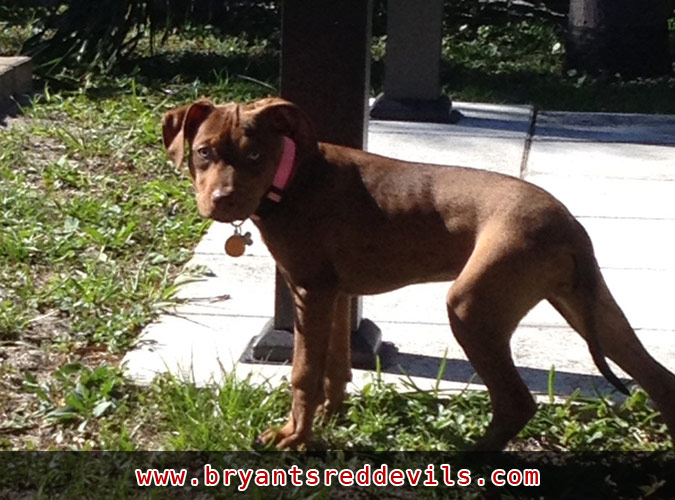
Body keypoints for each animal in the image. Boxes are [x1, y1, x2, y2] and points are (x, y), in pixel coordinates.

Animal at [162, 96, 675, 450]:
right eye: (203, 153)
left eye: (254, 158)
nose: (222, 202)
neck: (292, 180)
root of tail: (568, 222)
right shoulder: (336, 293)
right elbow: (335, 367)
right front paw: (328, 420)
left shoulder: (309, 290)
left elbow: (303, 373)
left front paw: (295, 438)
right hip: (590, 306)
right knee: (658, 378)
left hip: (472, 307)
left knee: (516, 401)